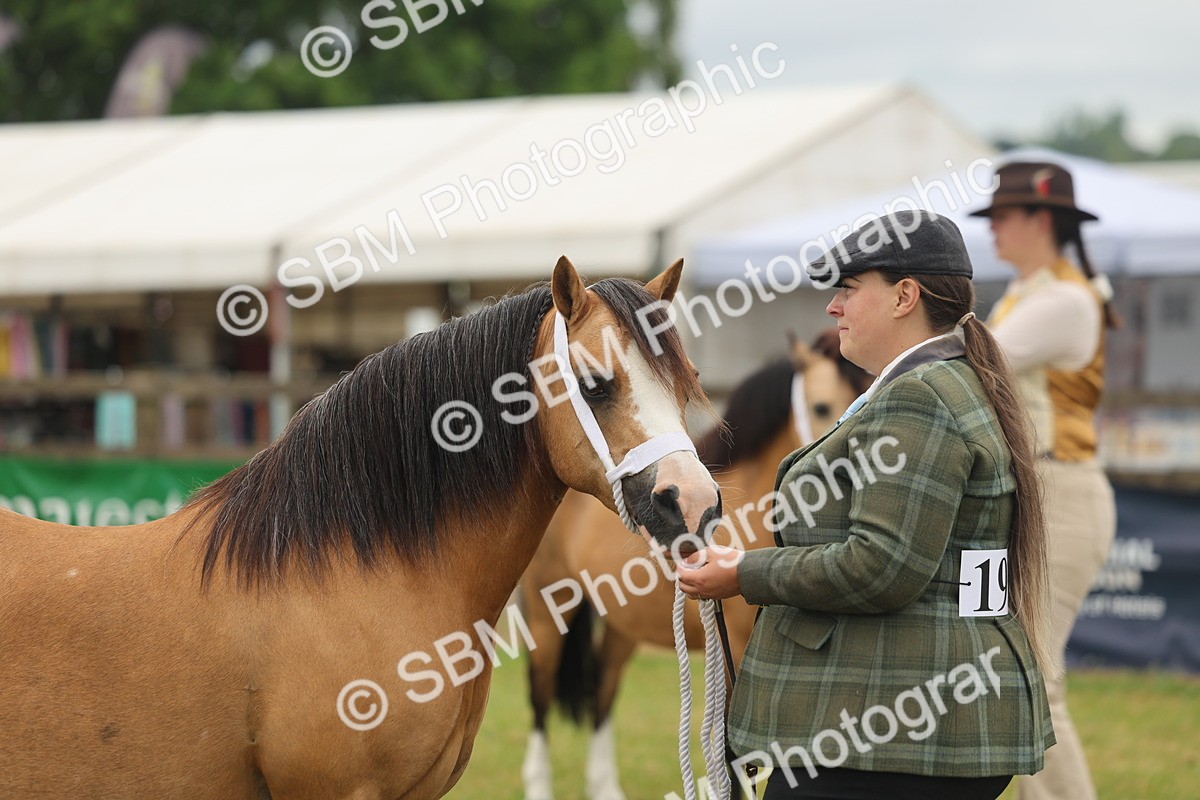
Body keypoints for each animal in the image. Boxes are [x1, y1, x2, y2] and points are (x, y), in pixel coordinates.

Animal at [519, 330, 872, 800]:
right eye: (821, 407)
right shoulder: (734, 652)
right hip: (547, 612)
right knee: (540, 699)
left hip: (621, 626)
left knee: (603, 690)